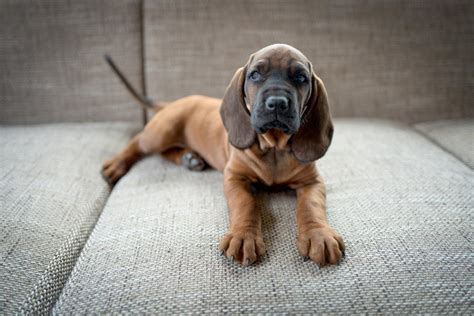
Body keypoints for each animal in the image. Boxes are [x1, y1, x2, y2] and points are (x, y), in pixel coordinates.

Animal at [103, 43, 344, 266]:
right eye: (255, 74)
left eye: (301, 78)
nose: (276, 103)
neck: (274, 148)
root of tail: (173, 102)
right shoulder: (235, 177)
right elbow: (246, 203)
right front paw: (244, 236)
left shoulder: (312, 182)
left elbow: (311, 207)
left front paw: (319, 235)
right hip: (161, 132)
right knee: (138, 142)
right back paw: (116, 165)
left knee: (166, 152)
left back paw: (189, 158)